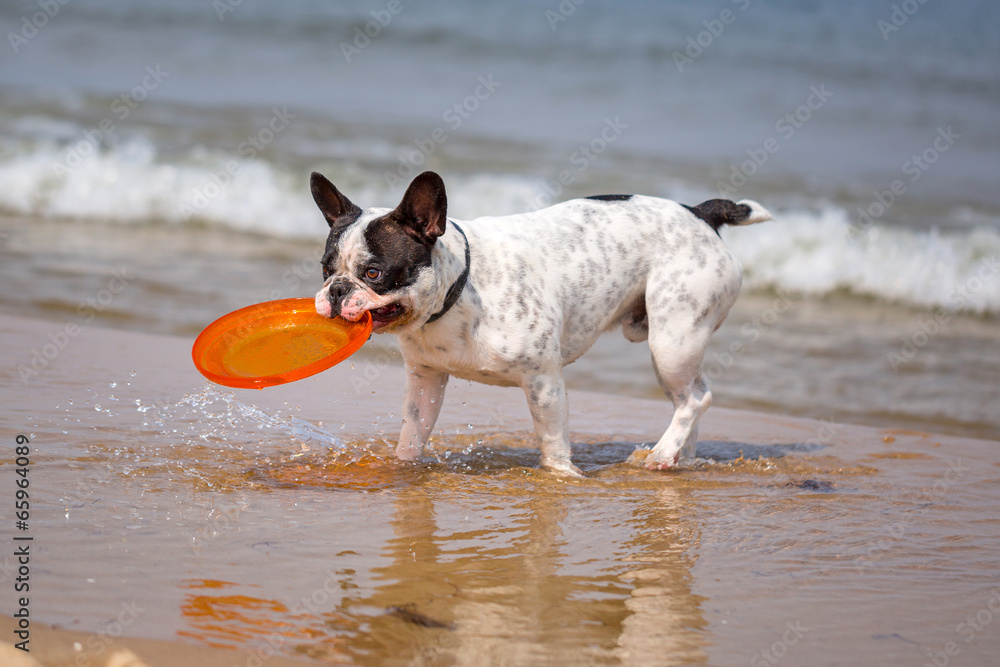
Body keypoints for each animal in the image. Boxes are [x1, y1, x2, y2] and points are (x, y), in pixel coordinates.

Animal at [312, 172, 772, 474]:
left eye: (374, 273)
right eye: (326, 269)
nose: (336, 290)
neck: (460, 287)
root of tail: (701, 214)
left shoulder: (544, 382)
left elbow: (552, 442)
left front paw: (561, 477)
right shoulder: (426, 378)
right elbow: (413, 432)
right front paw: (404, 467)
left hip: (672, 339)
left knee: (695, 398)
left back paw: (661, 455)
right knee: (689, 397)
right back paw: (680, 456)